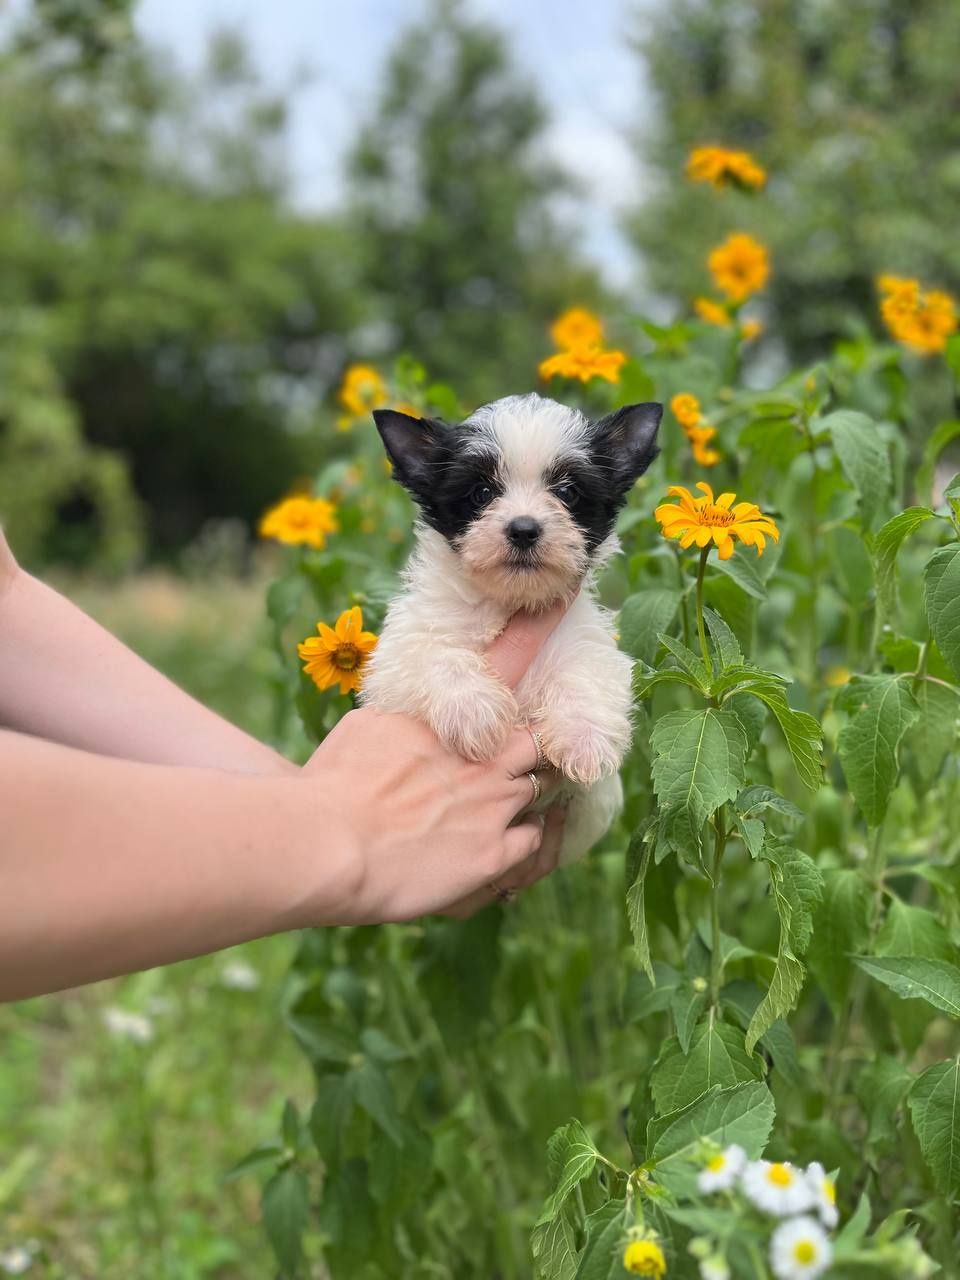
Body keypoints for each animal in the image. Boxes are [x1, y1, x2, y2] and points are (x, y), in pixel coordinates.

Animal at [360, 394, 660, 865]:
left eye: (567, 492)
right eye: (482, 493)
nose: (523, 528)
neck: (507, 605)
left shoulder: (583, 640)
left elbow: (585, 673)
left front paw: (585, 739)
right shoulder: (398, 654)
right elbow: (438, 656)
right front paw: (475, 711)